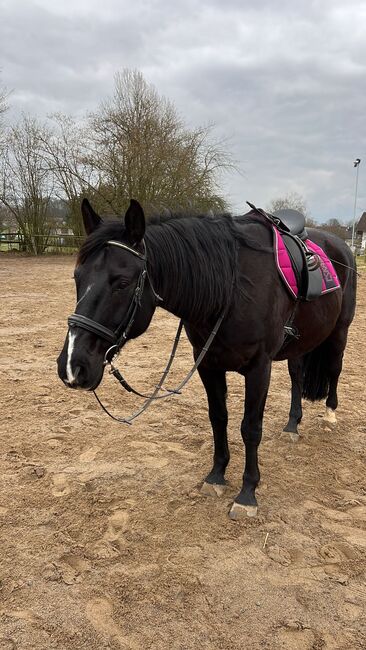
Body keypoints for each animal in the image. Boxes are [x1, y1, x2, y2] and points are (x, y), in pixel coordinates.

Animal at [58, 197, 358, 516]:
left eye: (123, 282)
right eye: (77, 277)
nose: (72, 365)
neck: (233, 287)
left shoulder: (259, 368)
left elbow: (251, 428)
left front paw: (247, 493)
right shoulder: (208, 365)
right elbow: (218, 418)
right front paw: (216, 476)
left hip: (339, 332)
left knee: (334, 369)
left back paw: (330, 415)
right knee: (296, 377)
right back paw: (292, 425)